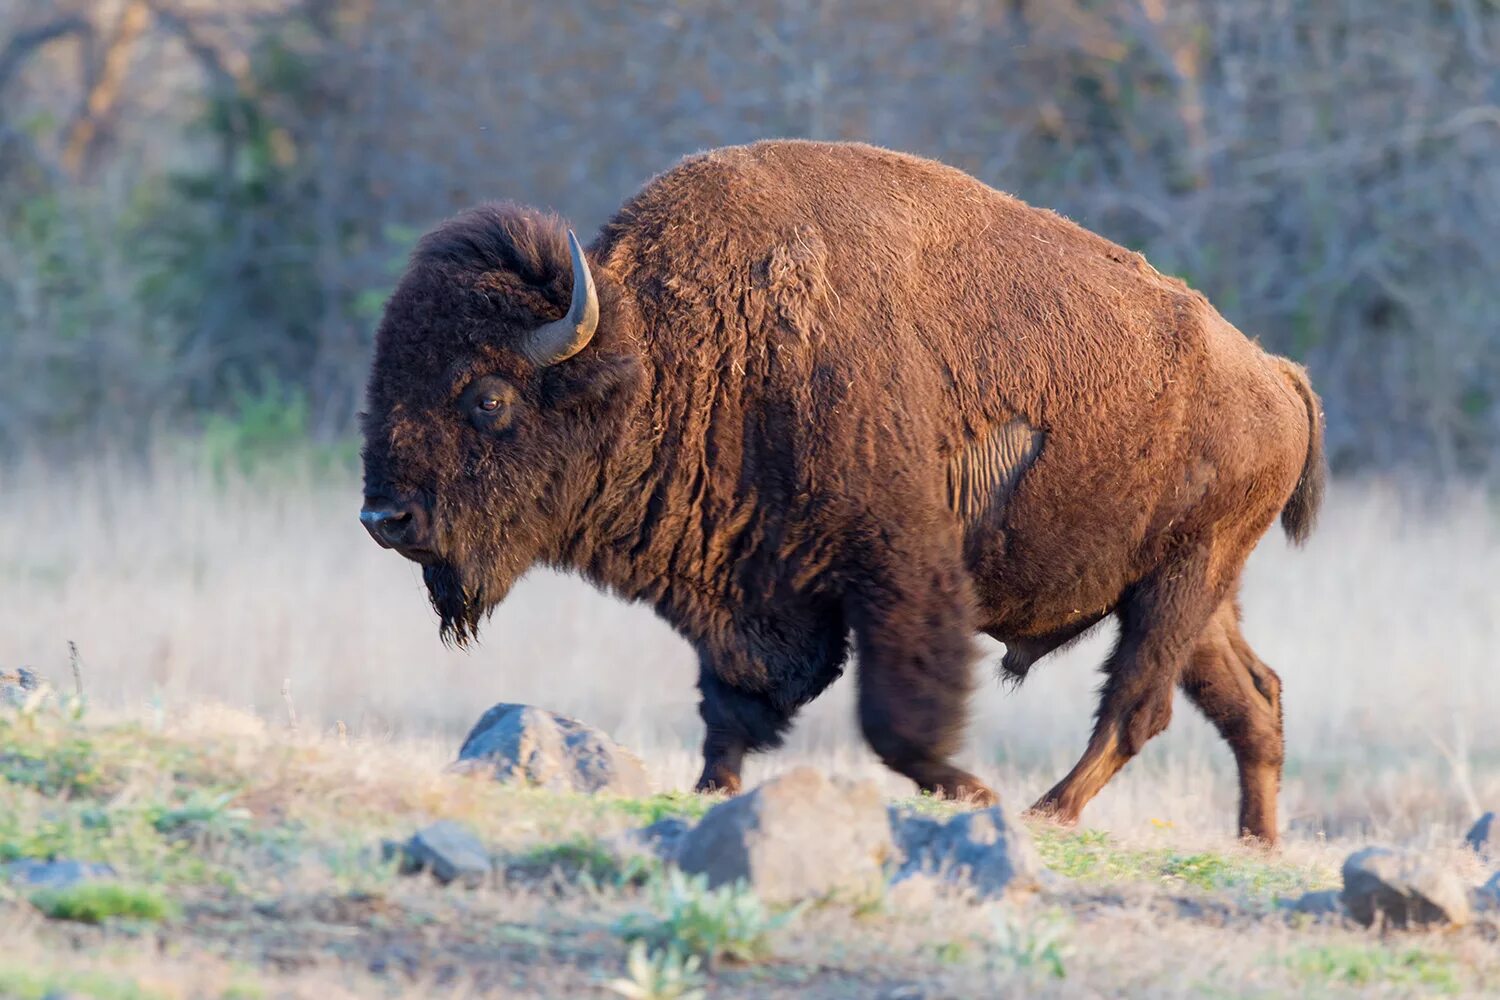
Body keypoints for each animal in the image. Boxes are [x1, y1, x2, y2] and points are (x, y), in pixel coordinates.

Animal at [360, 140, 1326, 845]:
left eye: (486, 396)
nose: (385, 516)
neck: (668, 352)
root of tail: (1276, 373)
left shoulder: (898, 573)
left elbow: (896, 714)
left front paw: (971, 793)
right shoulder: (753, 589)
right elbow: (734, 702)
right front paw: (709, 791)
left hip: (1183, 579)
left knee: (1138, 705)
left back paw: (1048, 810)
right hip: (1190, 594)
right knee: (1253, 698)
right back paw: (1256, 842)